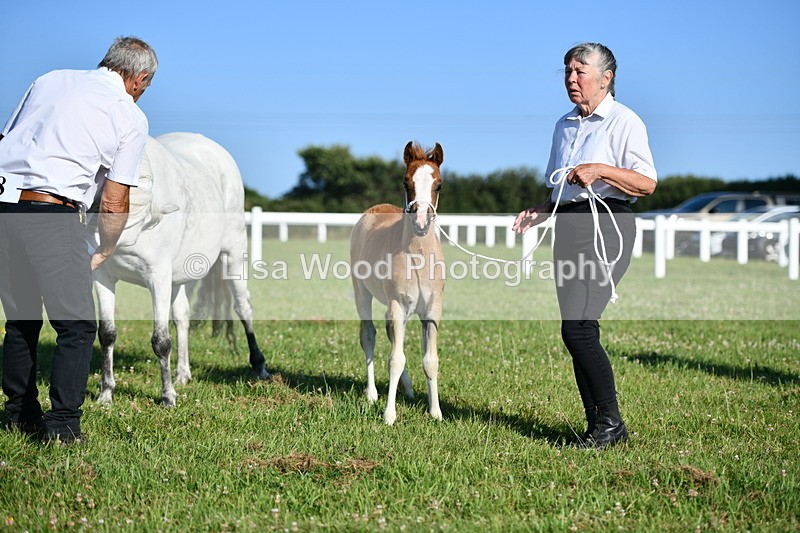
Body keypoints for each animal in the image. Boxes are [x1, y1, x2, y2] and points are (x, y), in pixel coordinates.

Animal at [91, 132, 270, 407]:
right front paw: (106, 394)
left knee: (243, 308)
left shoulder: (158, 278)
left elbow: (161, 341)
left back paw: (259, 366)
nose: (106, 253)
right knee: (182, 317)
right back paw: (183, 374)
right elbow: (107, 334)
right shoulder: (103, 278)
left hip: (232, 257)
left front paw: (167, 397)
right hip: (178, 279)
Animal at [349, 141, 445, 425]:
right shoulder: (398, 306)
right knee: (369, 335)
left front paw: (436, 412)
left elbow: (430, 360)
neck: (419, 258)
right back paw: (371, 394)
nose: (421, 221)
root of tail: (374, 208)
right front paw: (389, 414)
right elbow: (395, 359)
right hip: (362, 293)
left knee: (391, 334)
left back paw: (408, 388)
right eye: (405, 183)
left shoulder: (432, 310)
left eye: (438, 184)